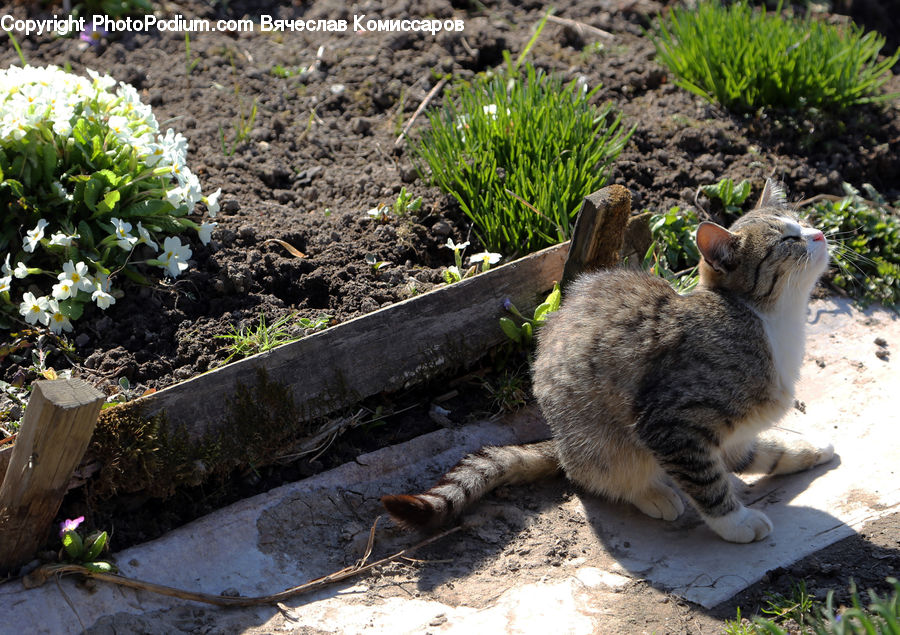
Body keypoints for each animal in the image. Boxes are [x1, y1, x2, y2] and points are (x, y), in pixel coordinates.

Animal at [382, 181, 836, 544]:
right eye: (787, 240)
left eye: (801, 220)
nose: (819, 233)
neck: (770, 320)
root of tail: (560, 444)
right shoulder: (672, 422)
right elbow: (707, 482)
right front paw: (736, 523)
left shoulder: (730, 430)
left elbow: (751, 453)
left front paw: (804, 447)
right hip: (604, 441)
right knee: (601, 474)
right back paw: (654, 494)